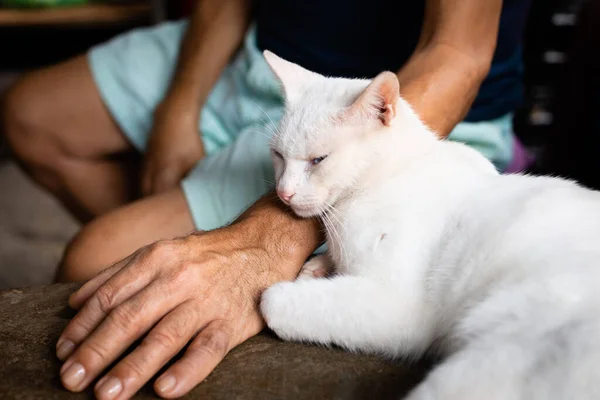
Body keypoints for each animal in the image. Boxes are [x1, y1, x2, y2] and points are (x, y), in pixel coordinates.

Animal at [262, 50, 600, 400]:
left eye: (319, 160)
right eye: (278, 156)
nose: (284, 192)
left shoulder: (396, 306)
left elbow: (272, 301)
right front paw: (319, 266)